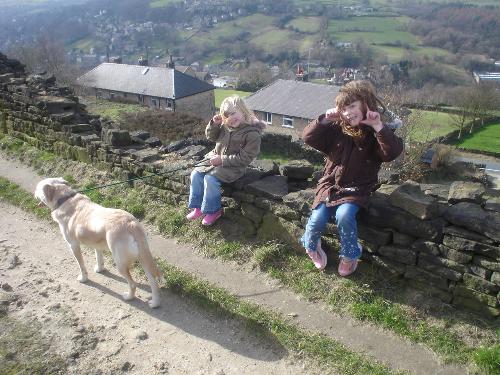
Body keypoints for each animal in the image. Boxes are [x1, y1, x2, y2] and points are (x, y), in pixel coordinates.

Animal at [34, 178, 162, 310]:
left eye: (37, 188)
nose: (34, 192)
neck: (65, 199)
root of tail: (130, 223)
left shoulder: (73, 246)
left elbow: (81, 266)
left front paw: (84, 278)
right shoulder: (97, 244)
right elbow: (99, 258)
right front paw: (100, 269)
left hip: (121, 264)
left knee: (133, 284)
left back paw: (128, 297)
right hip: (143, 258)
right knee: (154, 282)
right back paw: (155, 303)